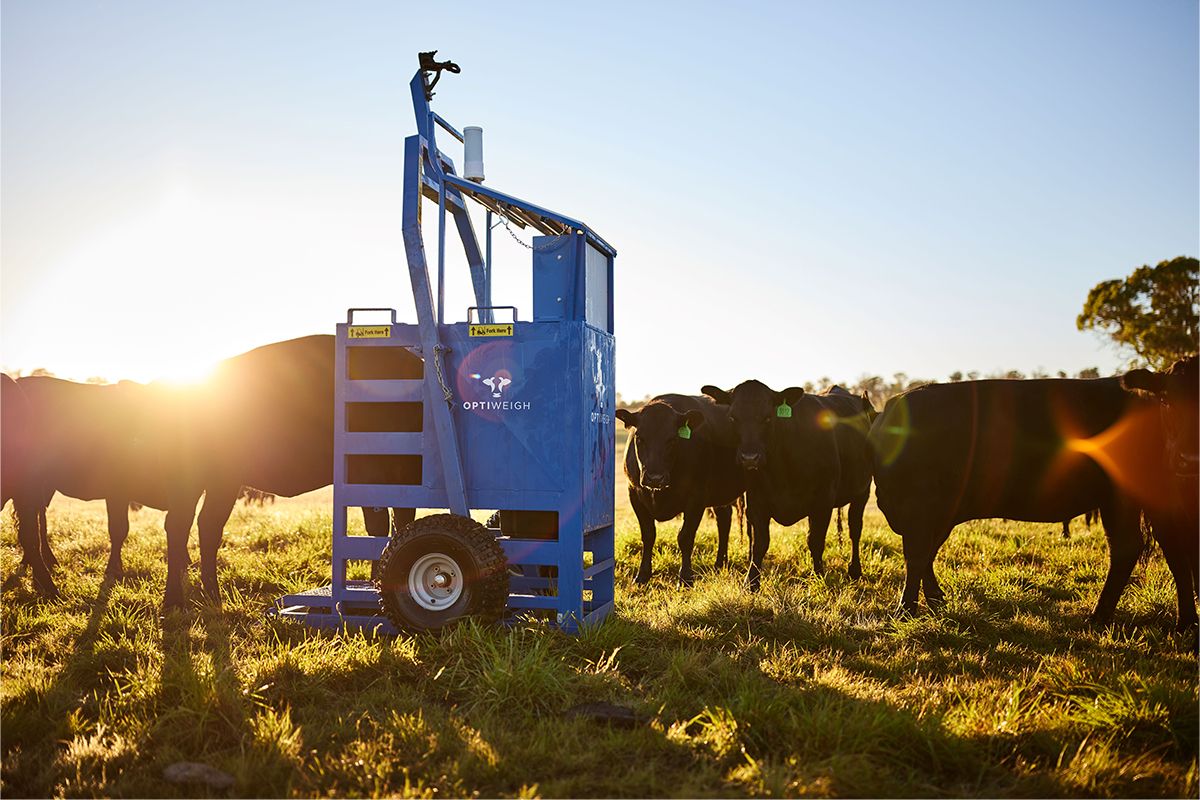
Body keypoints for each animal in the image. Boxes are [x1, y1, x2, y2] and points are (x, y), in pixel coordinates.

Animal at [619, 395, 739, 587]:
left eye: (672, 439)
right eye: (640, 438)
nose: (655, 477)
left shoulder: (697, 497)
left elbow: (685, 537)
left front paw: (685, 578)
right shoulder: (635, 494)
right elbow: (648, 535)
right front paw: (642, 575)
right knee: (724, 518)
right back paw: (720, 563)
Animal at [700, 379, 878, 592]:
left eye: (768, 417)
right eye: (733, 417)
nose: (749, 458)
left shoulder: (823, 501)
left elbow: (815, 540)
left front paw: (819, 575)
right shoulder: (757, 502)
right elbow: (760, 543)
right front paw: (751, 582)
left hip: (862, 490)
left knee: (855, 528)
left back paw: (855, 570)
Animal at [873, 371, 1200, 628]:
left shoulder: (920, 507)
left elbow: (916, 556)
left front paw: (905, 610)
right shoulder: (938, 514)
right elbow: (927, 555)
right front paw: (935, 601)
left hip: (1128, 497)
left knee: (1136, 548)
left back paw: (1106, 616)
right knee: (1164, 548)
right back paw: (1180, 620)